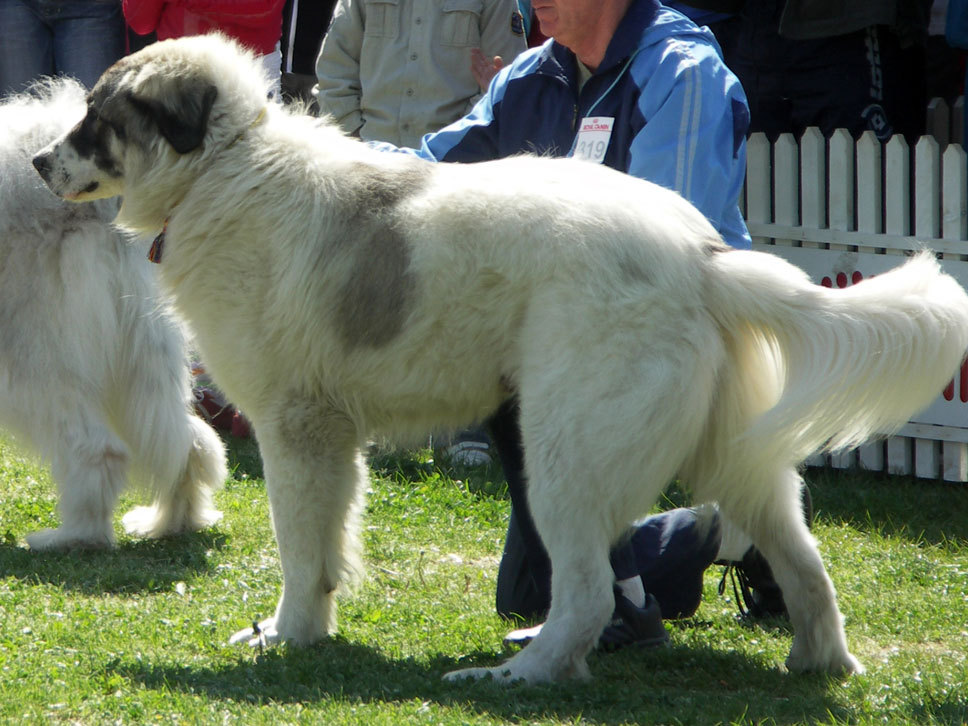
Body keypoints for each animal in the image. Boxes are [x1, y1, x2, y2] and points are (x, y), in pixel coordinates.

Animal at [0, 78, 225, 552]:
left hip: (32, 362)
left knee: (98, 450)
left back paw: (71, 537)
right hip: (147, 357)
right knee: (187, 444)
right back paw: (171, 522)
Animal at [34, 34, 968, 684]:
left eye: (98, 119)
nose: (40, 160)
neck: (225, 169)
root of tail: (702, 254)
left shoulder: (295, 429)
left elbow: (299, 550)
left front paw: (289, 635)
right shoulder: (330, 438)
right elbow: (329, 548)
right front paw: (304, 631)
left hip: (565, 452)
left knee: (587, 589)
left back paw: (519, 675)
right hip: (735, 459)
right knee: (805, 566)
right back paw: (820, 663)